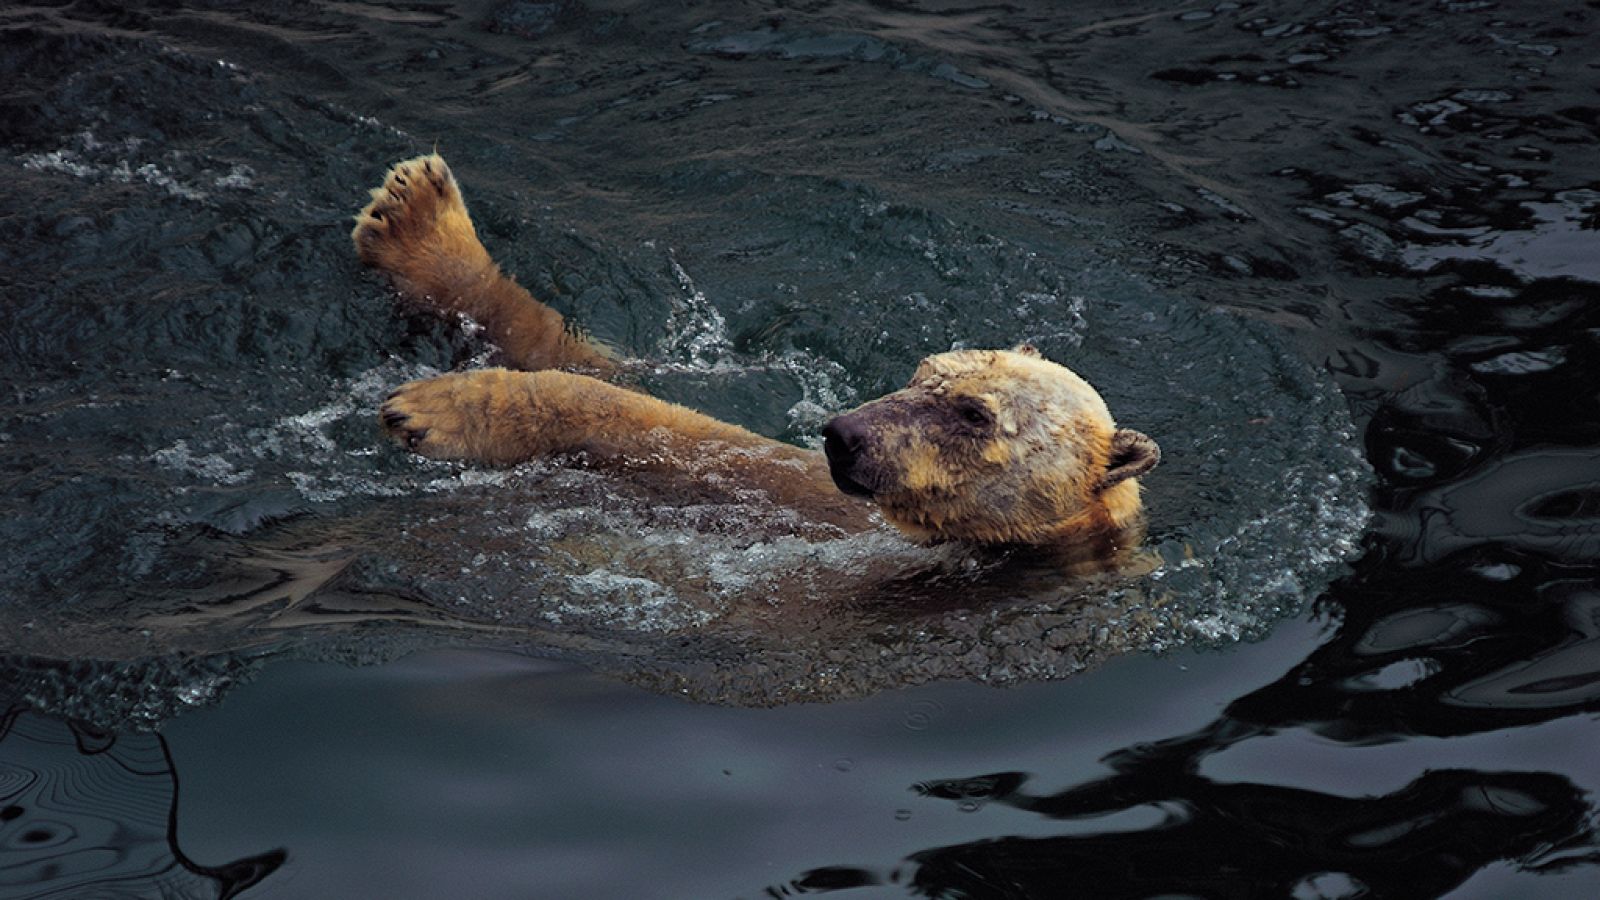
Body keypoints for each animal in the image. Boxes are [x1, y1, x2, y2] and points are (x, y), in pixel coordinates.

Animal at [353, 154, 1159, 566]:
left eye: (973, 414)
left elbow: (673, 436)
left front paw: (435, 408)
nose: (844, 434)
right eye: (920, 371)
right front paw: (413, 219)